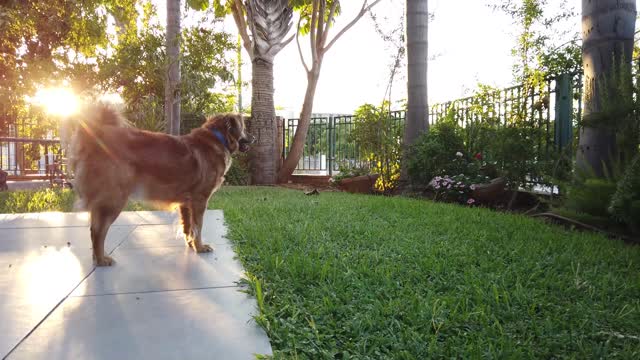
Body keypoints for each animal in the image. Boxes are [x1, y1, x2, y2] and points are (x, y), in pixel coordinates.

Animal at [68, 102, 252, 266]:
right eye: (244, 127)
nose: (254, 137)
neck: (217, 139)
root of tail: (95, 136)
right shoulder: (200, 200)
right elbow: (198, 227)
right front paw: (199, 247)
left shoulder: (186, 203)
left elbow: (188, 227)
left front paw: (191, 245)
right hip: (114, 199)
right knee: (97, 231)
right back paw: (101, 259)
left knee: (94, 229)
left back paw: (96, 257)